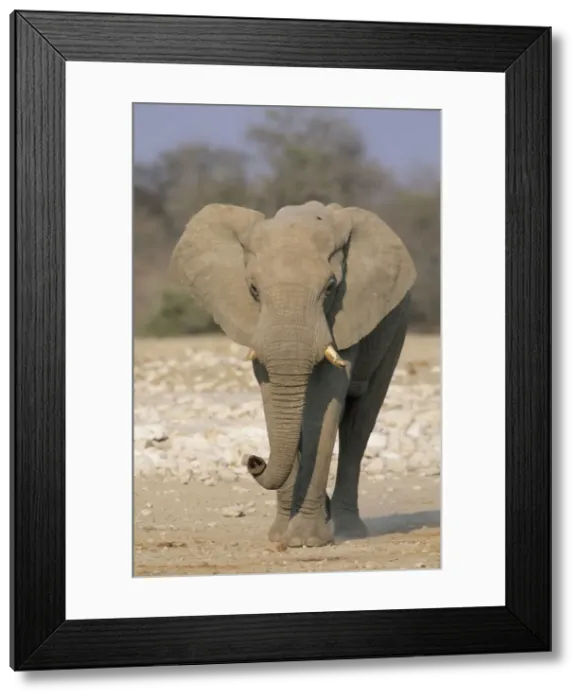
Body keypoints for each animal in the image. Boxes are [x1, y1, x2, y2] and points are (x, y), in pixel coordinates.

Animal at [169, 200, 416, 548]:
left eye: (330, 287)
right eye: (253, 289)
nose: (254, 460)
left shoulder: (345, 317)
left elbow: (321, 409)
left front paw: (306, 540)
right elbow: (275, 403)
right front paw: (280, 536)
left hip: (396, 327)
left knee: (360, 422)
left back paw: (349, 531)